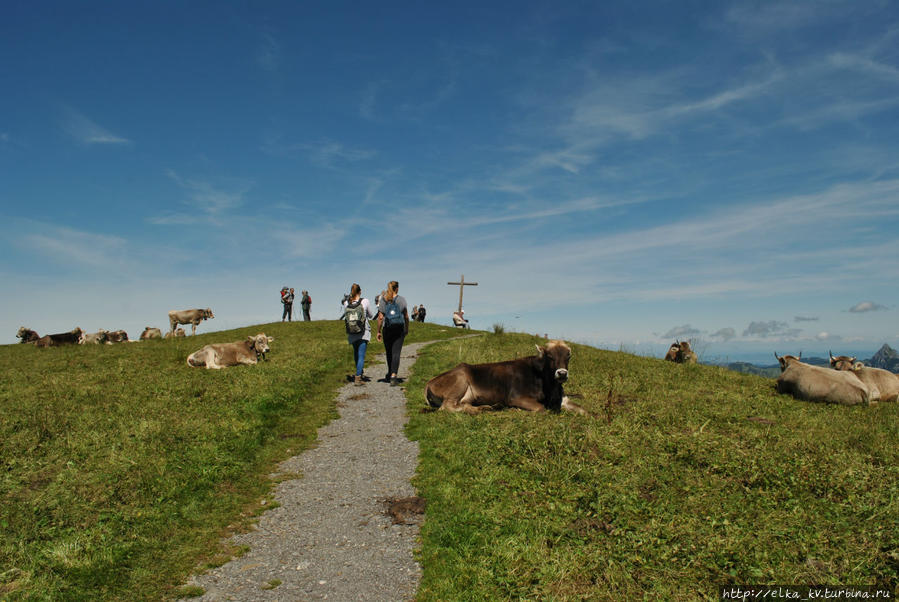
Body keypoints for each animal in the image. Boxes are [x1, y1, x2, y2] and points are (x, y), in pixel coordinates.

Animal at [428, 340, 592, 414]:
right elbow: (541, 408)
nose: (562, 373)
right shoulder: (515, 397)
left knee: (464, 405)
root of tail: (430, 382)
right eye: (549, 356)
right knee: (447, 407)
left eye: (568, 356)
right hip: (460, 380)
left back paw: (488, 407)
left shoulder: (563, 399)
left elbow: (584, 410)